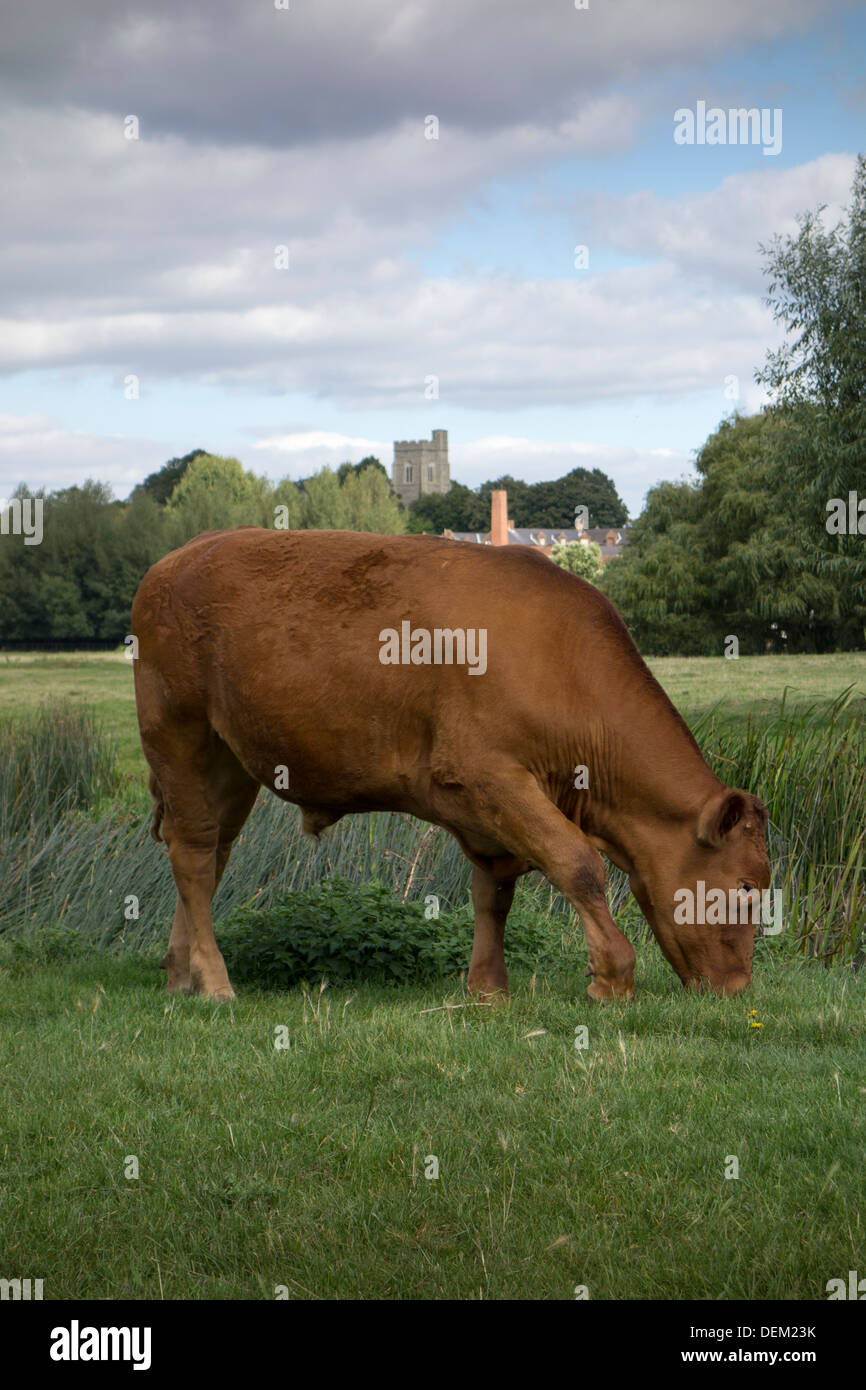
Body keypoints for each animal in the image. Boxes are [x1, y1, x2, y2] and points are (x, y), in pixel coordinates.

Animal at [131, 528, 771, 1003]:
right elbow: (577, 864)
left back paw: (181, 973)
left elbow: (495, 892)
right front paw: (612, 977)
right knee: (192, 853)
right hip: (177, 731)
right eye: (746, 887)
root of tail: (181, 555)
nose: (739, 987)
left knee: (213, 852)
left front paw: (487, 988)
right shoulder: (489, 775)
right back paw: (214, 982)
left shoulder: (486, 807)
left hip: (230, 759)